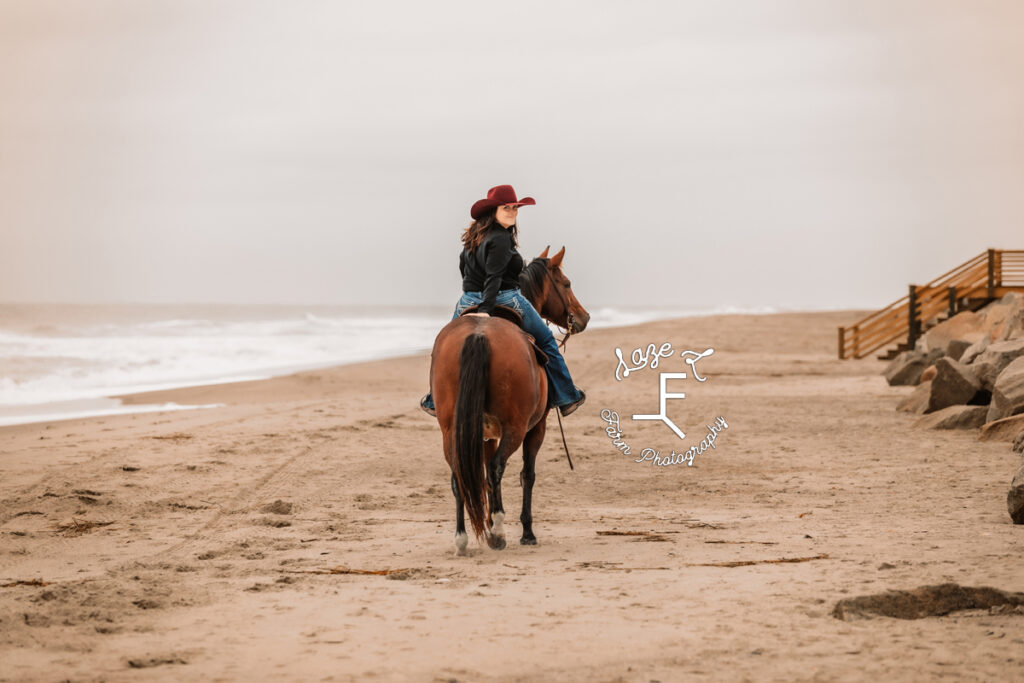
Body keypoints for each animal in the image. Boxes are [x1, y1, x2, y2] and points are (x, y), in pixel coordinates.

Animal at [428, 245, 593, 557]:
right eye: (566, 284)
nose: (584, 317)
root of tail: (479, 334)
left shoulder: (484, 434)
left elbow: (481, 475)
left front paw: (489, 521)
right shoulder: (536, 427)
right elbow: (526, 474)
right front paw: (526, 531)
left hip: (451, 429)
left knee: (460, 475)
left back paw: (462, 539)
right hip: (516, 428)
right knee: (496, 469)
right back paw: (499, 533)